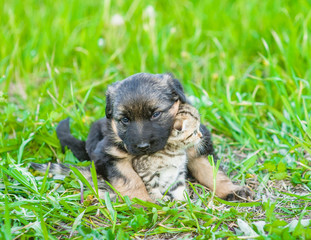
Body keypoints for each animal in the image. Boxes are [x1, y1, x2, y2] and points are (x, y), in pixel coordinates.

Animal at [56, 73, 254, 201]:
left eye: (156, 114)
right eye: (125, 120)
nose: (143, 146)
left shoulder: (198, 147)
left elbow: (212, 171)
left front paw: (232, 191)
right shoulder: (108, 155)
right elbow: (131, 180)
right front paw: (143, 202)